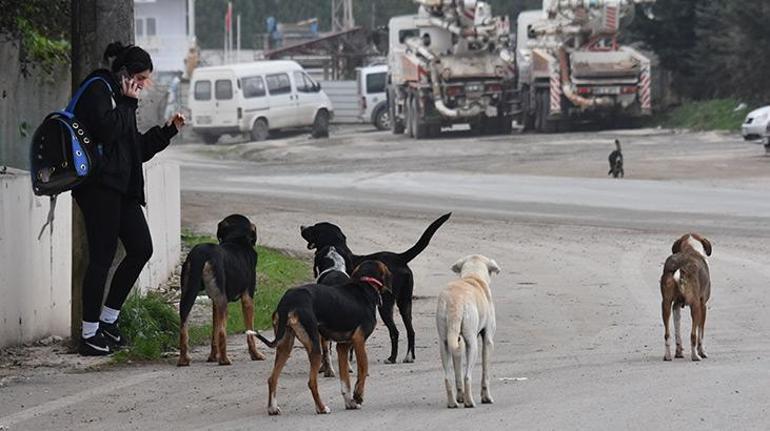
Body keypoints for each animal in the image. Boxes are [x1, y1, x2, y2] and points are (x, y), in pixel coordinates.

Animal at [177, 214, 264, 366]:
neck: (236, 240)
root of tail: (201, 254)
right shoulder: (247, 298)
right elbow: (250, 332)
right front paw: (255, 354)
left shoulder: (214, 303)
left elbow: (214, 333)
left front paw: (212, 357)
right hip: (222, 301)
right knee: (223, 332)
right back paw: (224, 360)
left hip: (187, 294)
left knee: (183, 327)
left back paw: (184, 359)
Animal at [296, 213, 448, 364]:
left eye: (315, 228)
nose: (302, 226)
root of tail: (399, 258)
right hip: (405, 303)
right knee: (411, 331)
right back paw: (409, 356)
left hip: (385, 305)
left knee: (394, 332)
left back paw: (392, 358)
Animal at [436, 255, 500, 410]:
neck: (473, 276)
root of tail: (455, 301)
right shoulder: (488, 340)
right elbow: (485, 373)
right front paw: (486, 398)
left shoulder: (458, 341)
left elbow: (457, 372)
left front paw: (460, 397)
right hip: (472, 345)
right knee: (467, 376)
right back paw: (469, 402)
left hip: (444, 343)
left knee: (448, 376)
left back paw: (453, 402)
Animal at [656, 233, 712, 362]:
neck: (690, 248)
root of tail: (680, 266)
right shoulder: (703, 305)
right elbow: (701, 333)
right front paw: (702, 352)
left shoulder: (675, 306)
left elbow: (677, 331)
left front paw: (678, 352)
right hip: (695, 306)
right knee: (693, 335)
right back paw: (695, 356)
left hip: (665, 304)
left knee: (667, 334)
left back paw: (667, 356)